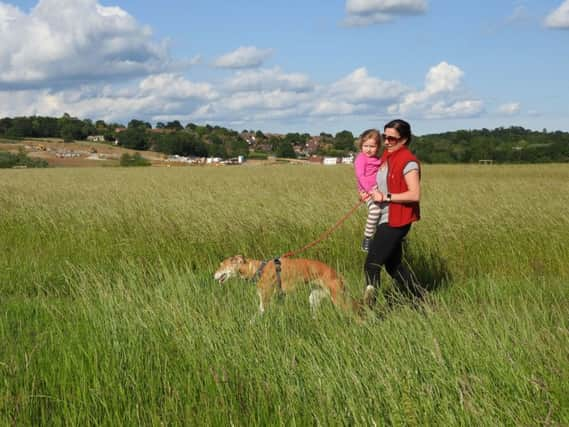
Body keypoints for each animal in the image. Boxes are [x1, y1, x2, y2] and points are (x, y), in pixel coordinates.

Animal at [212, 256, 356, 316]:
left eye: (222, 265)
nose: (213, 275)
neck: (258, 269)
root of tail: (337, 273)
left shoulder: (265, 302)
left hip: (339, 300)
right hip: (315, 297)